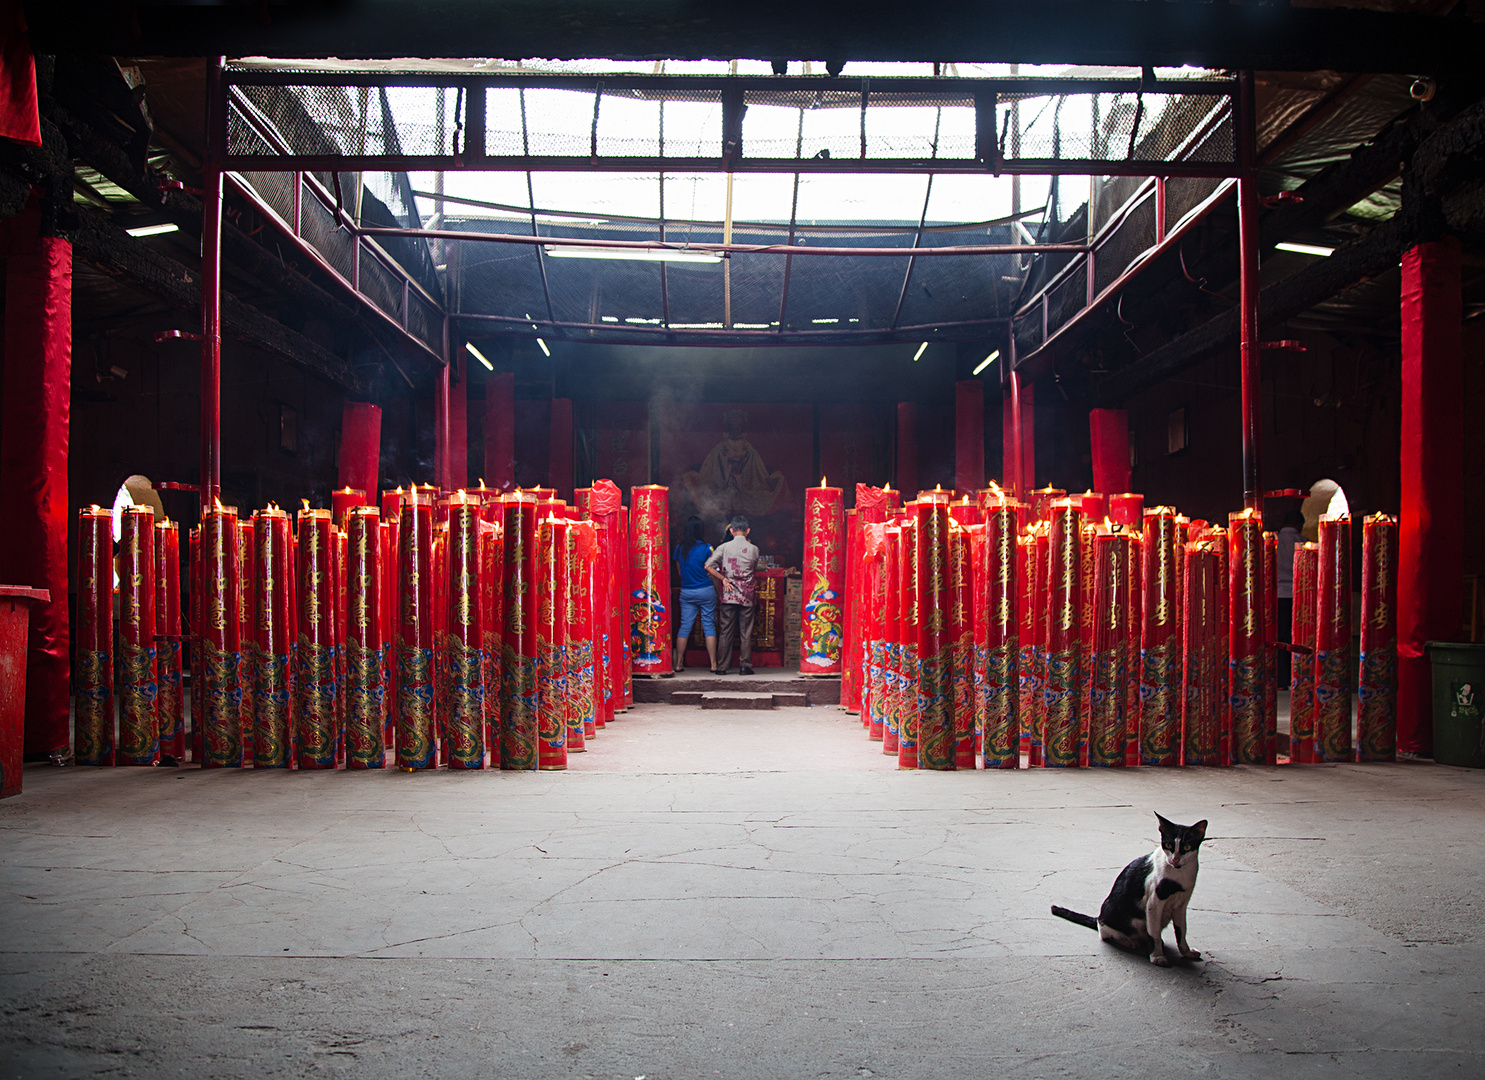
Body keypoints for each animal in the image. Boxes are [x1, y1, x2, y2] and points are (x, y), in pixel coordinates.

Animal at [1057, 814, 1205, 968]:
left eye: (1187, 846)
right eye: (1169, 845)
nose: (1175, 859)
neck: (1179, 877)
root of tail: (1098, 917)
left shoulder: (1181, 905)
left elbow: (1182, 931)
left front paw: (1187, 952)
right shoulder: (1154, 904)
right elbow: (1155, 934)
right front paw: (1157, 956)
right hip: (1119, 919)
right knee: (1107, 934)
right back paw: (1129, 941)